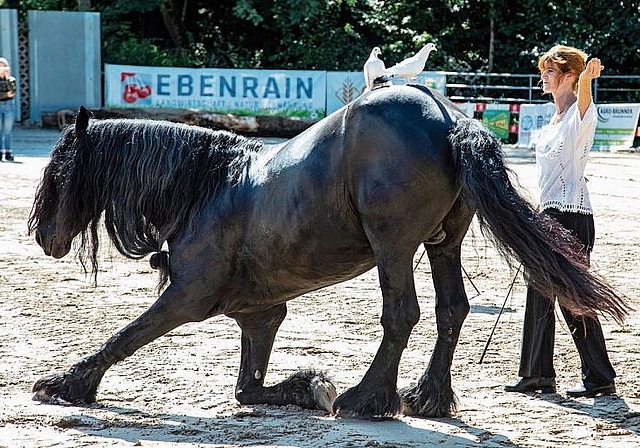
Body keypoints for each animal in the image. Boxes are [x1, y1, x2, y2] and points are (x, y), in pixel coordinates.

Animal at [28, 86, 624, 418]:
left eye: (58, 171)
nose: (42, 237)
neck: (207, 187)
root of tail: (450, 117)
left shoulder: (187, 297)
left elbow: (127, 336)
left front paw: (67, 384)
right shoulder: (260, 315)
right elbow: (248, 388)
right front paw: (306, 386)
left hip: (393, 244)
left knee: (401, 314)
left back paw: (368, 399)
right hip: (442, 245)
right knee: (450, 310)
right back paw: (427, 396)